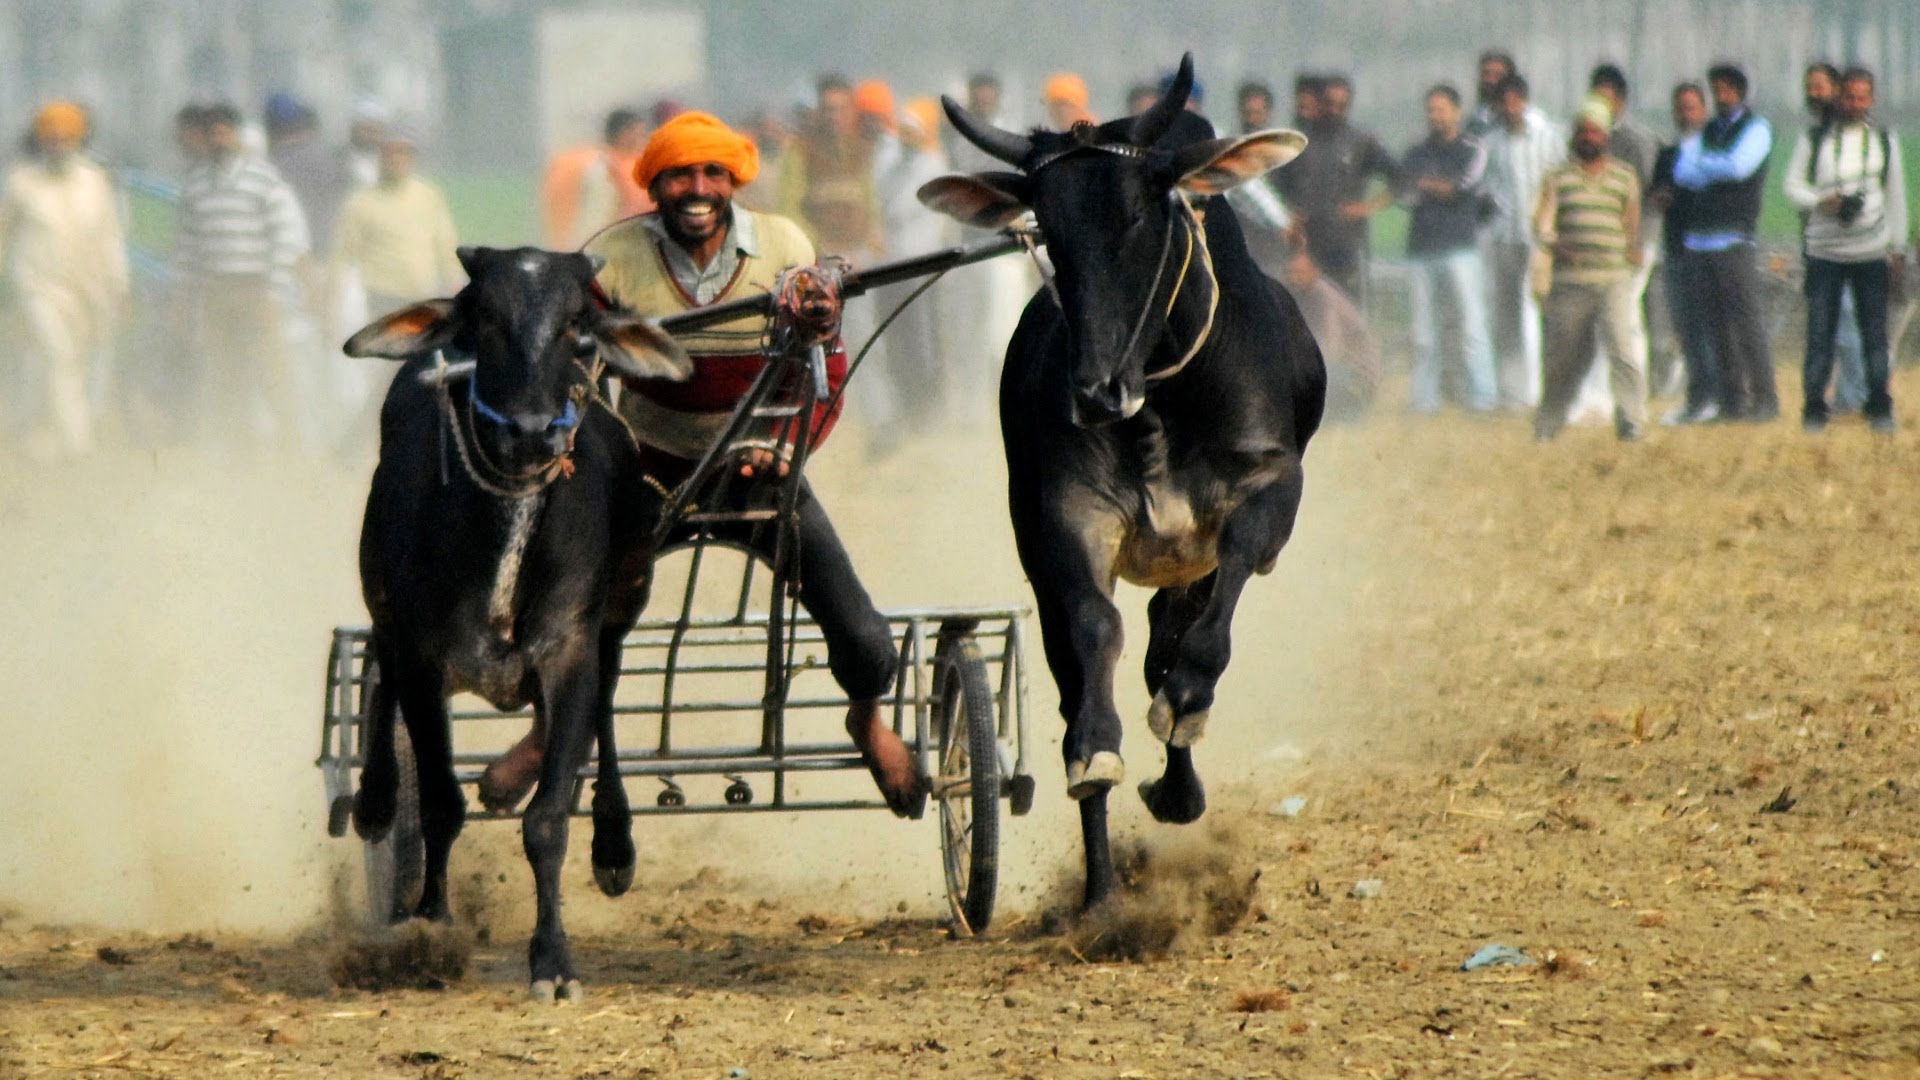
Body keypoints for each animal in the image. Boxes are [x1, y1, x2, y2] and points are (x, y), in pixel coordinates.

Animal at [925, 54, 1320, 903]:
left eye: (1144, 211)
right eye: (1046, 228)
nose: (1096, 390)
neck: (1159, 402)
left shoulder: (1269, 489)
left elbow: (1202, 632)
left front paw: (1184, 708)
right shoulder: (1066, 518)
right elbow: (1094, 633)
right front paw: (1095, 747)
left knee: (1169, 641)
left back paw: (1176, 786)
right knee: (1083, 670)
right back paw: (1103, 890)